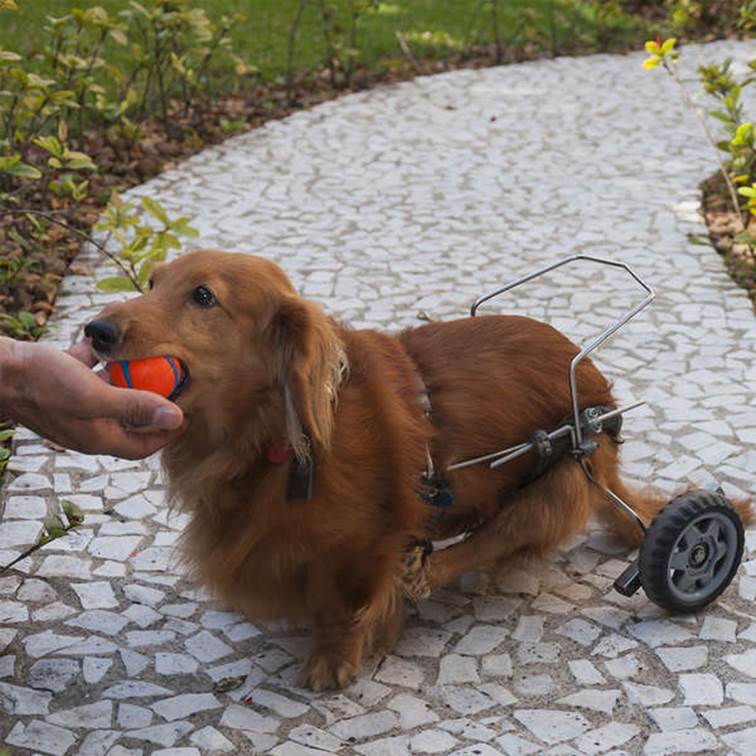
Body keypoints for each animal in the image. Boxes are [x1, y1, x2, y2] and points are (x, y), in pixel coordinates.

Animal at [85, 250, 748, 692]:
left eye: (203, 296)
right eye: (151, 282)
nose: (96, 331)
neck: (271, 438)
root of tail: (600, 404)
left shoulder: (359, 547)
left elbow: (338, 602)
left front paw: (333, 657)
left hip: (562, 474)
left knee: (492, 539)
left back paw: (425, 571)